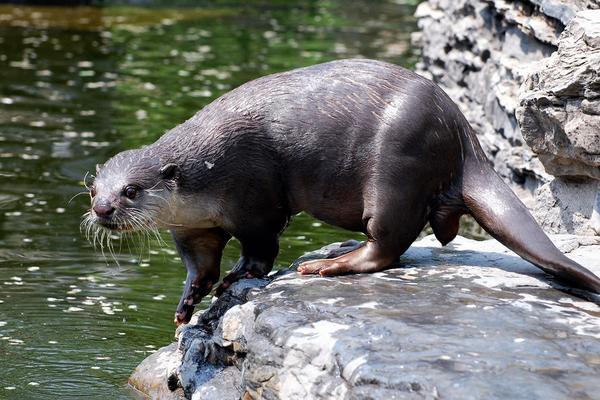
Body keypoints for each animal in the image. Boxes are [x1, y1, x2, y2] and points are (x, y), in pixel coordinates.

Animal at [83, 58, 600, 324]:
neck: (206, 173)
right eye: (94, 189)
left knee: (388, 245)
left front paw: (237, 278)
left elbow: (260, 250)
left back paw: (328, 264)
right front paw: (189, 300)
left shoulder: (253, 196)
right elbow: (199, 265)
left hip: (397, 166)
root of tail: (460, 134)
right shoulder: (194, 228)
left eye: (131, 190)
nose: (104, 209)